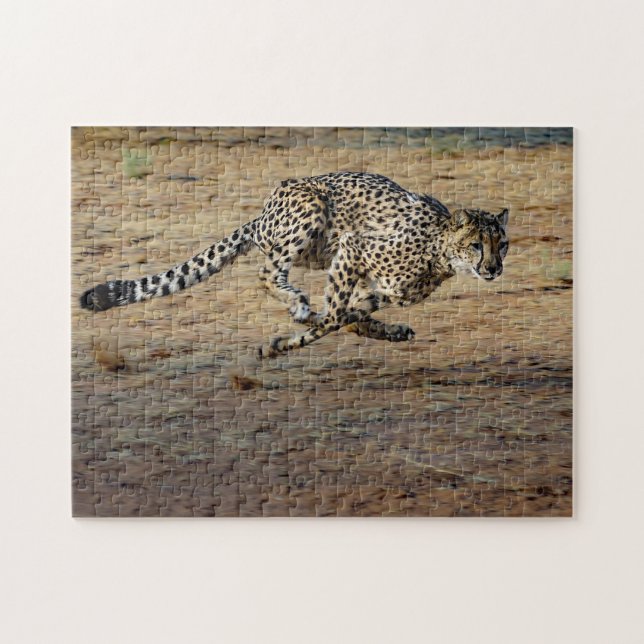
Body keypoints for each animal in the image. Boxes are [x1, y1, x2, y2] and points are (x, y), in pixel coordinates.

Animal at [79, 171, 509, 358]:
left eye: (501, 244)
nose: (493, 269)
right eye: (476, 245)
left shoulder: (379, 288)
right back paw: (298, 305)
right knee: (267, 271)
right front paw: (286, 340)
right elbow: (334, 317)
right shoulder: (353, 247)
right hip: (312, 211)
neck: (440, 252)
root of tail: (263, 211)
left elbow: (348, 316)